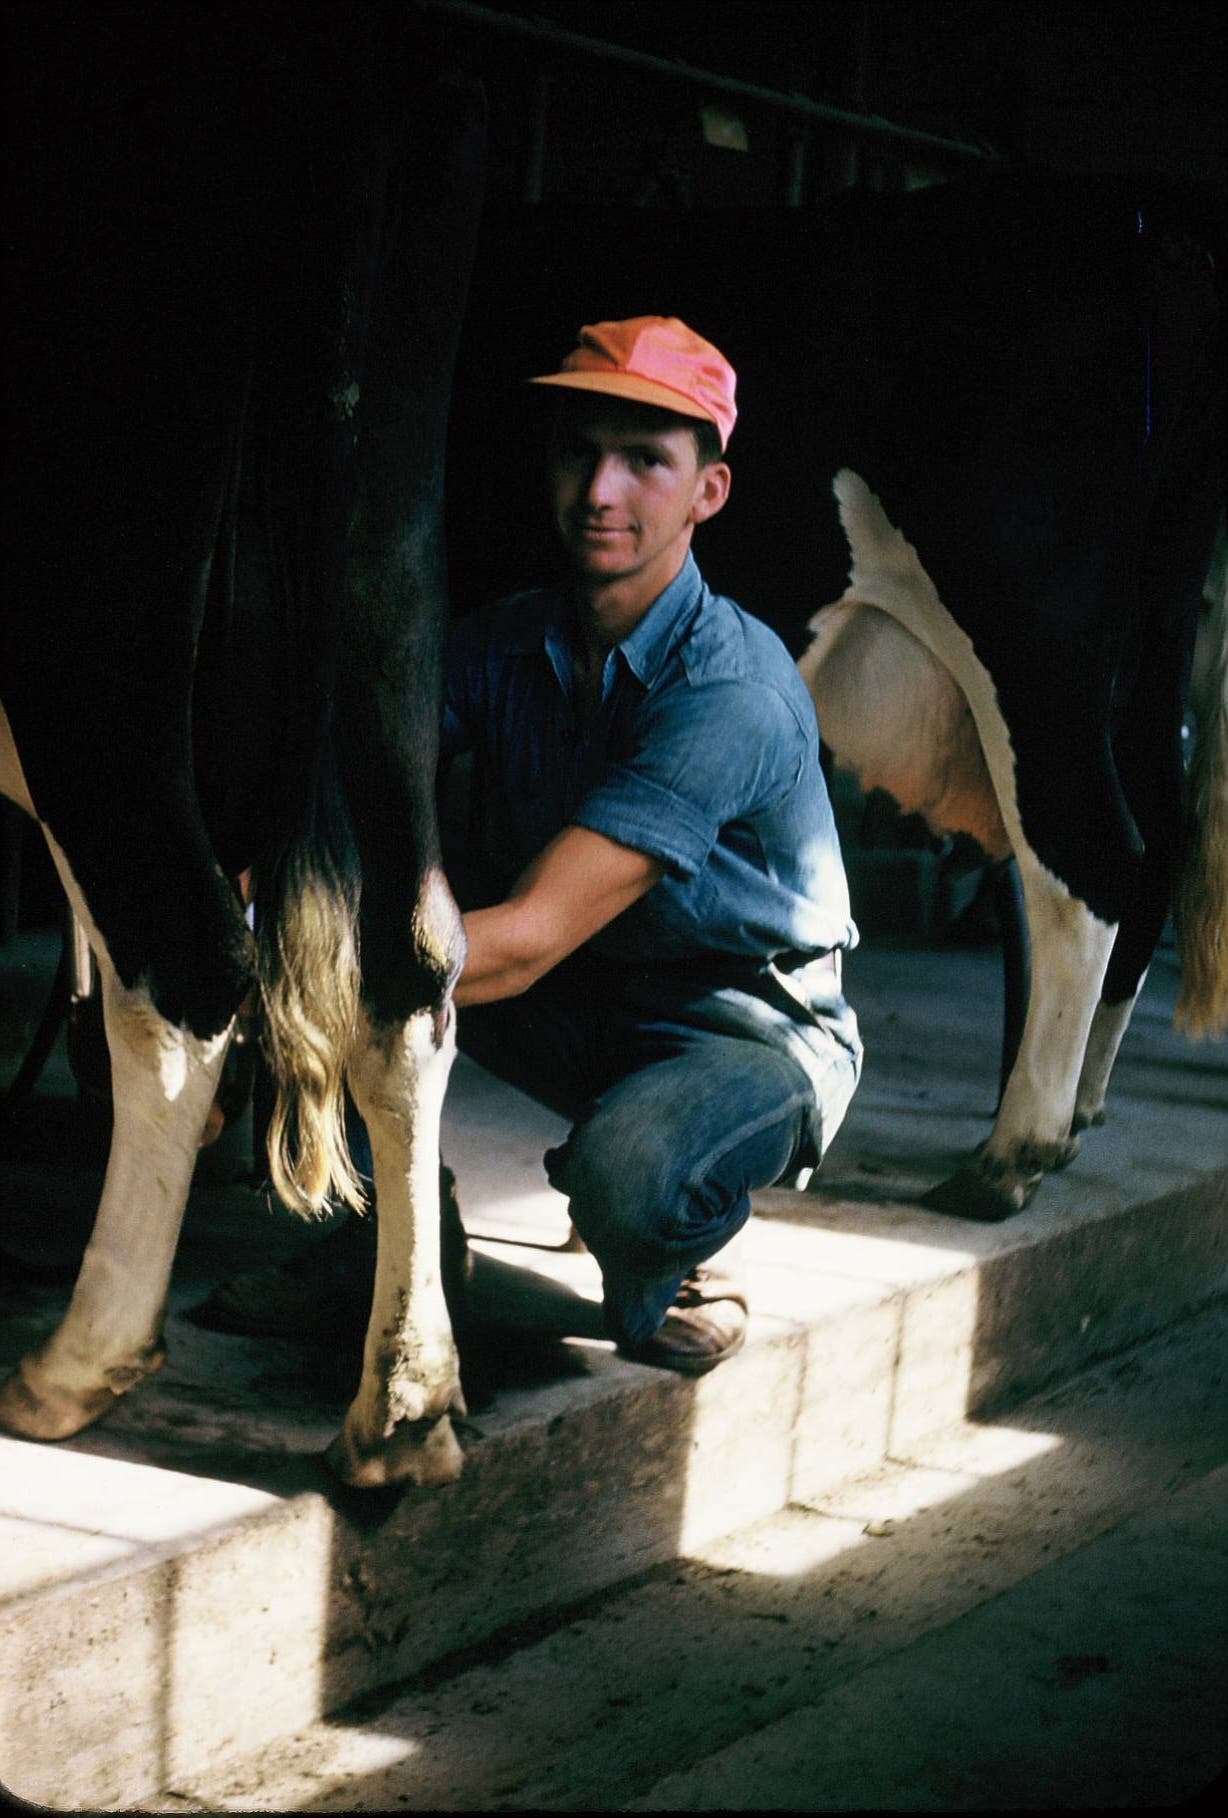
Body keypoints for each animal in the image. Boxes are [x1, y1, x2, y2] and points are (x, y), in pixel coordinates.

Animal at [0, 5, 486, 1485]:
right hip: (392, 556)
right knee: (413, 960)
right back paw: (405, 1406)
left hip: (98, 587)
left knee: (184, 956)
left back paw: (72, 1365)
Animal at [442, 174, 1226, 1220]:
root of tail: (1151, 226)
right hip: (1150, 634)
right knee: (1158, 838)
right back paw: (1077, 1115)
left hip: (1028, 624)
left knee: (1091, 857)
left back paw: (1011, 1156)